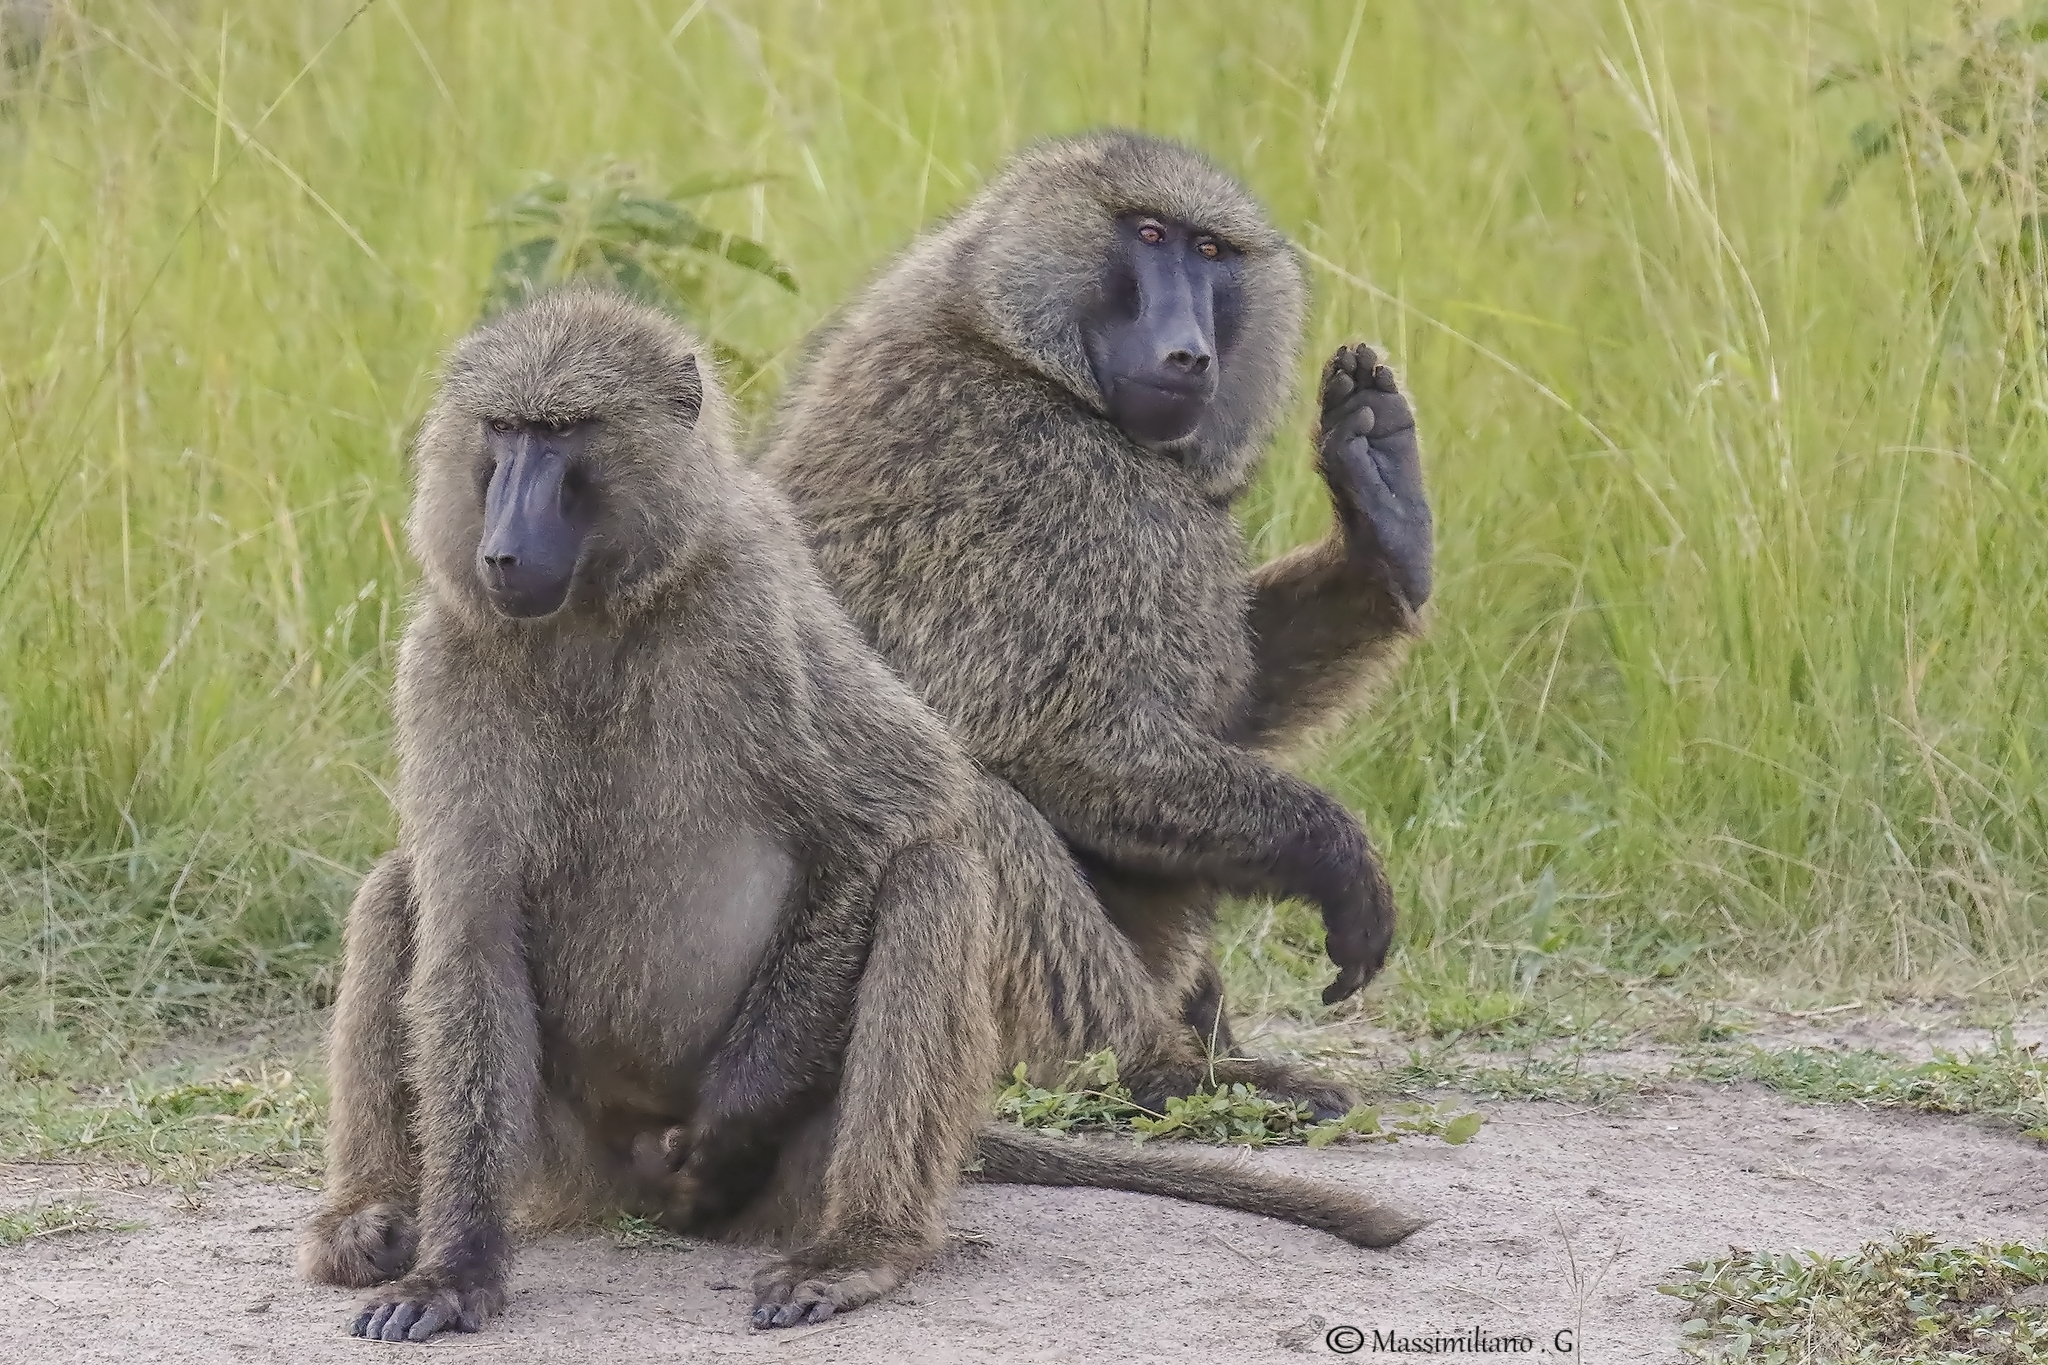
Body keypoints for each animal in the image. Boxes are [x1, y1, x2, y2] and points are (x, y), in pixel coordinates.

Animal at [299, 289, 1423, 1342]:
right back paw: (373, 1217)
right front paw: (455, 1269)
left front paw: (730, 1123)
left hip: (804, 1164)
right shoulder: (445, 655)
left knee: (933, 877)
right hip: (560, 1151)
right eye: (503, 430)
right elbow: (471, 933)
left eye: (567, 433)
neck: (597, 616)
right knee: (399, 888)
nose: (501, 551)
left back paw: (860, 1249)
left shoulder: (760, 608)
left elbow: (897, 814)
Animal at [760, 130, 1432, 1104]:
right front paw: (1336, 856)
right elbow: (1068, 743)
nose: (1189, 352)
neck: (1002, 334)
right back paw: (1166, 1071)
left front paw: (1381, 529)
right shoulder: (1060, 483)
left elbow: (1227, 707)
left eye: (1210, 251)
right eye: (1149, 233)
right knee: (975, 803)